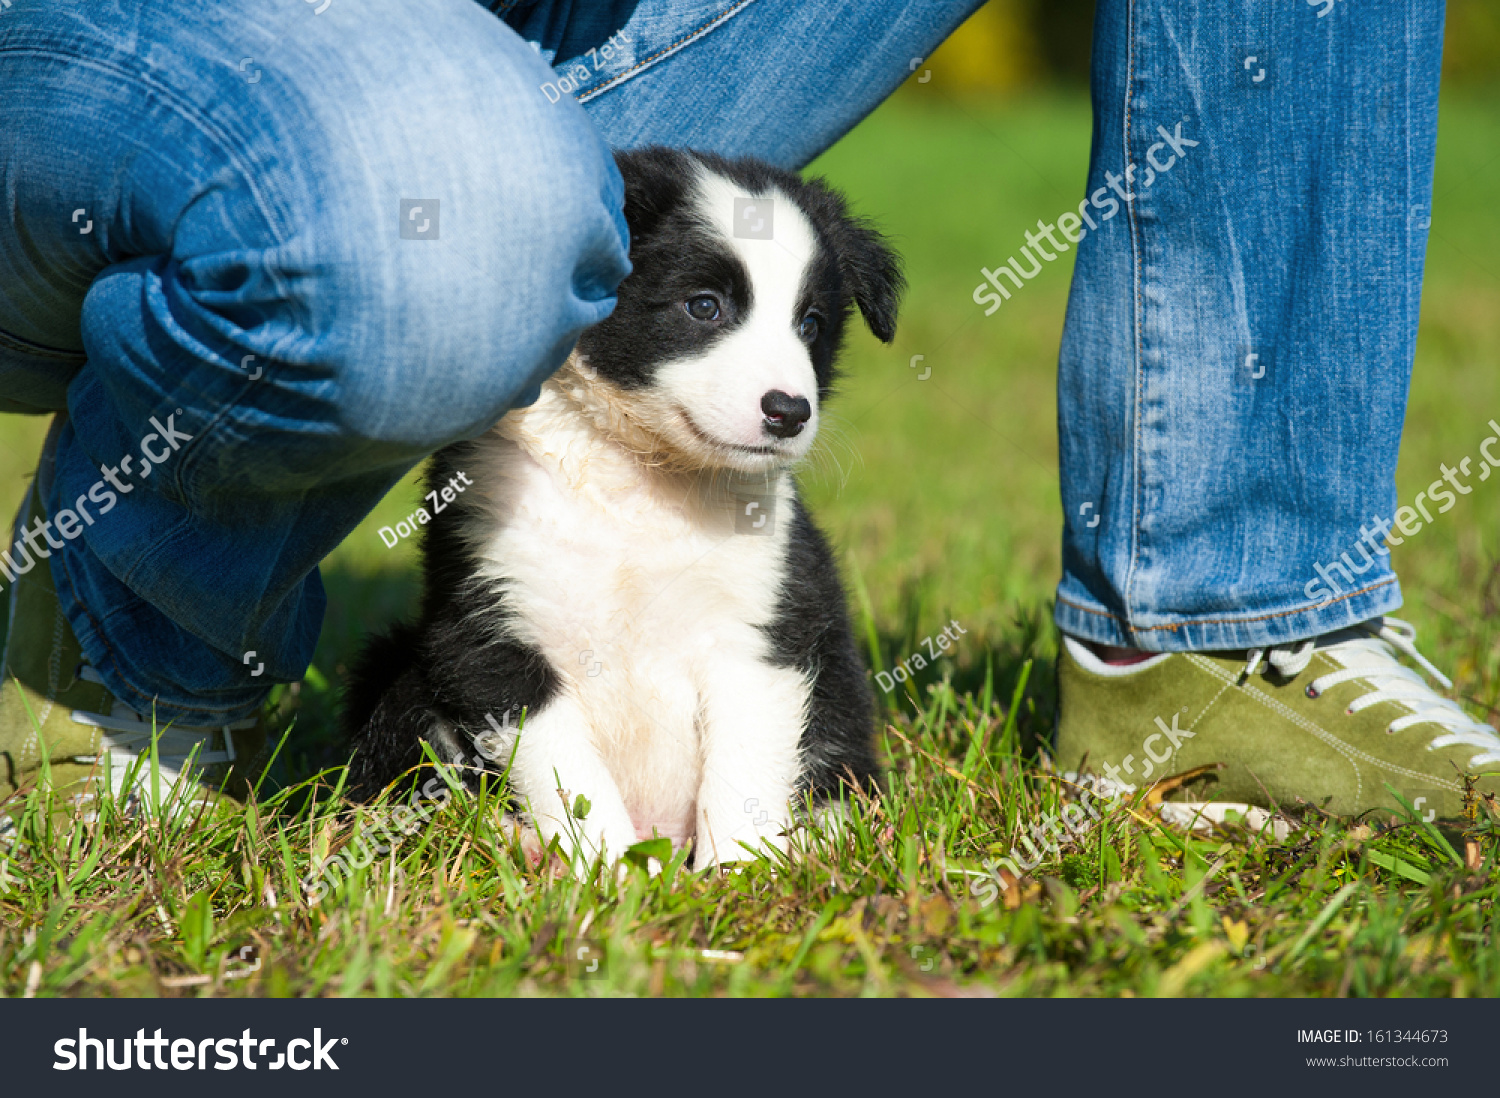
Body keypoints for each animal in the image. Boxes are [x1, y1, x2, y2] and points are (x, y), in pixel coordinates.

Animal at [343, 144, 900, 876]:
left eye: (811, 324)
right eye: (704, 306)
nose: (788, 412)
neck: (636, 478)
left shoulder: (764, 628)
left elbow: (744, 774)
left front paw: (737, 878)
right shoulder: (494, 632)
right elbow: (569, 776)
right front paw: (608, 876)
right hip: (398, 673)